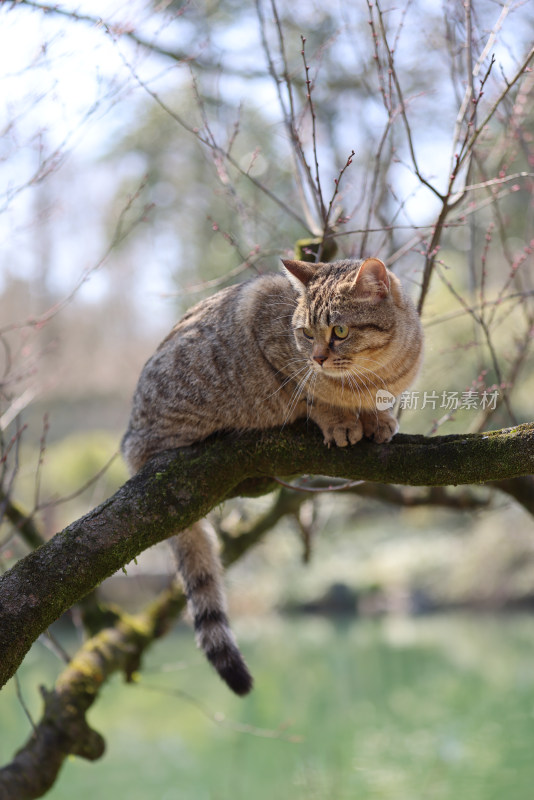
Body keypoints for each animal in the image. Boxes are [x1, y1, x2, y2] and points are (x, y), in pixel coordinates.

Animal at [121, 256, 422, 692]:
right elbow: (313, 394)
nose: (318, 357)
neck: (373, 375)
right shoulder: (269, 333)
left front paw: (376, 419)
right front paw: (340, 420)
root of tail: (130, 446)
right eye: (306, 333)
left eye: (340, 331)